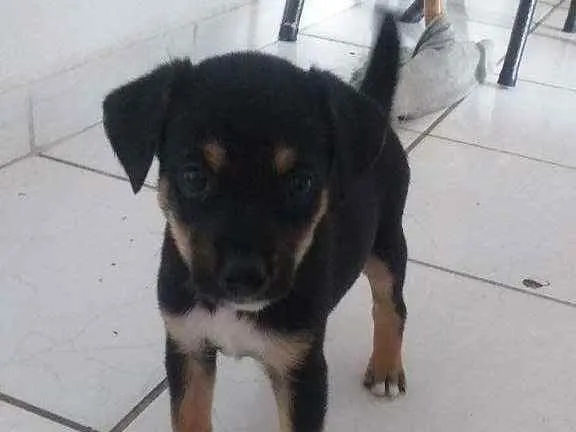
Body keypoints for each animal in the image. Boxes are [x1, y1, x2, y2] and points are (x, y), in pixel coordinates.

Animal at [103, 13, 409, 432]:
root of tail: (375, 105)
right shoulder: (187, 346)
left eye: (301, 183)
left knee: (390, 304)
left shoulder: (303, 369)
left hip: (387, 243)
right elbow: (191, 417)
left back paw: (386, 369)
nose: (244, 276)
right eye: (194, 177)